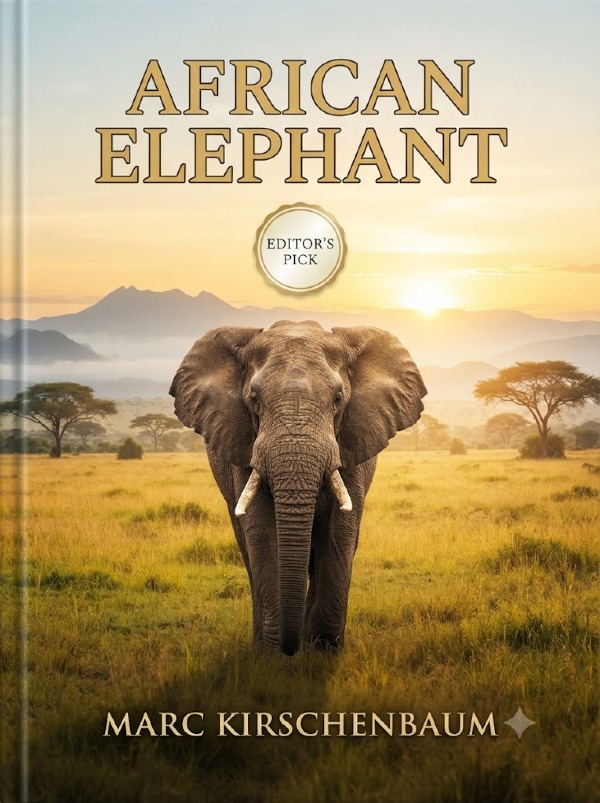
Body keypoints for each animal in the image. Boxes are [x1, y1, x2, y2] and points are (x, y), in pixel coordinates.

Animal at [170, 320, 426, 656]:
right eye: (254, 399)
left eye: (338, 399)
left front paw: (324, 651)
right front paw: (271, 654)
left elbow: (340, 531)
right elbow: (261, 532)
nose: (290, 649)